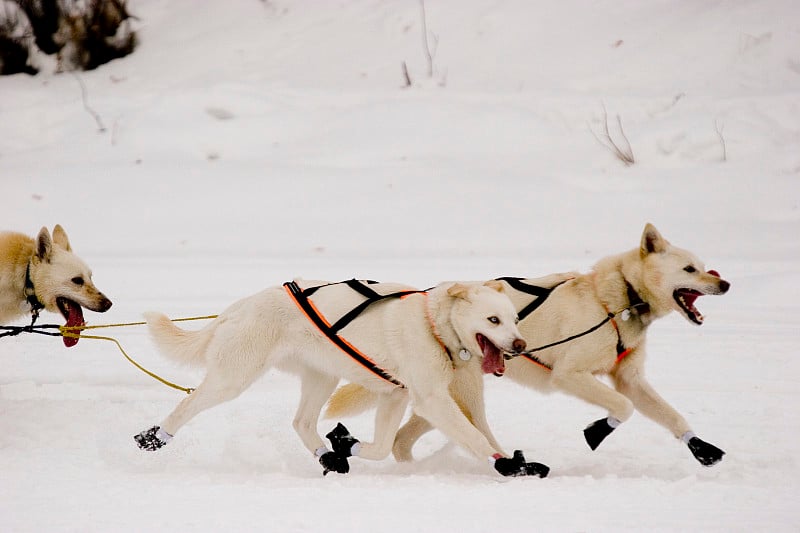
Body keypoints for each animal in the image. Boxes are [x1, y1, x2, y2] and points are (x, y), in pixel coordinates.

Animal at [136, 276, 552, 476]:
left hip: (322, 378)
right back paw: (155, 436)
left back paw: (328, 457)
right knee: (188, 403)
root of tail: (237, 307)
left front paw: (345, 443)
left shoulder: (395, 396)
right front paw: (507, 465)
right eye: (492, 320)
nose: (519, 344)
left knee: (302, 423)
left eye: (514, 319)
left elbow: (382, 446)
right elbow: (475, 438)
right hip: (233, 378)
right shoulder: (431, 400)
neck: (432, 324)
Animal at [324, 223, 732, 466]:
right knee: (462, 431)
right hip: (467, 395)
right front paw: (598, 429)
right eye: (689, 270)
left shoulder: (630, 379)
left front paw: (700, 447)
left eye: (703, 266)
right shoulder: (570, 375)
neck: (617, 301)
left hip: (441, 397)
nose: (724, 283)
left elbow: (672, 416)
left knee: (403, 439)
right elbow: (623, 407)